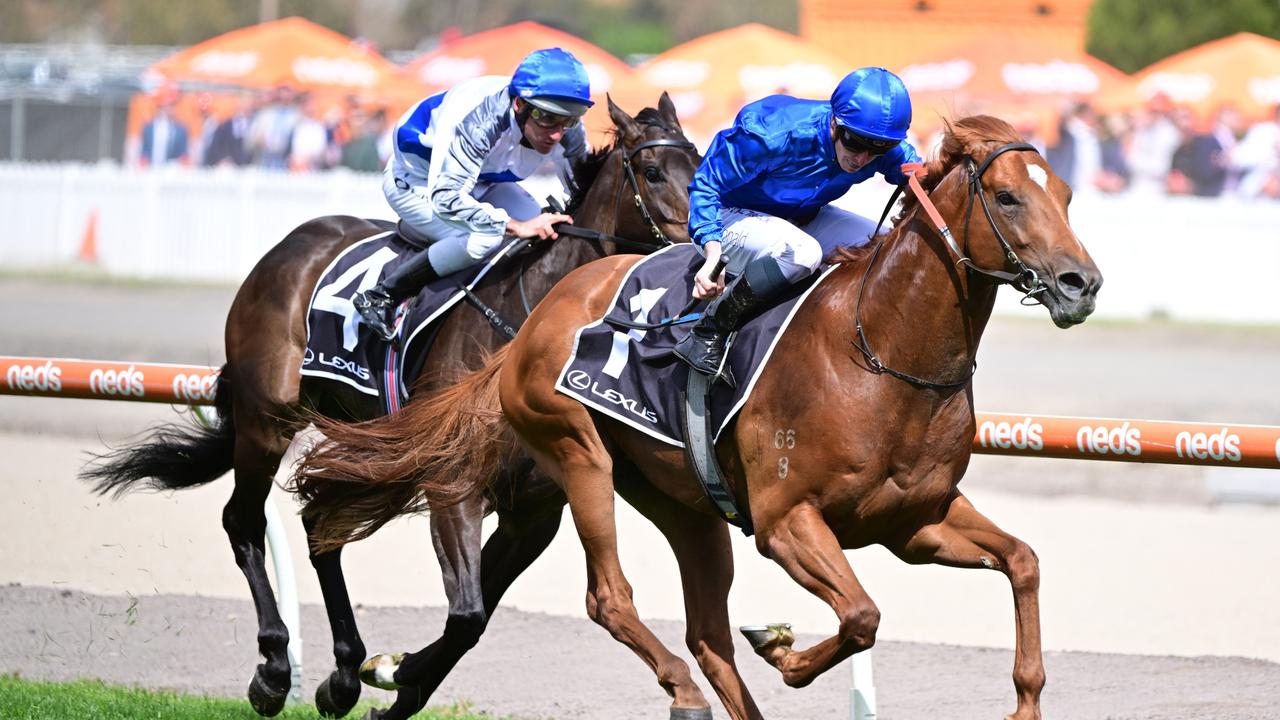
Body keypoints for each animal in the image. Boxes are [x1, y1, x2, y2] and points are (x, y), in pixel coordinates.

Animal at [82, 95, 701, 717]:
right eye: (652, 172)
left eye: (700, 162)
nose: (702, 254)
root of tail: (288, 248)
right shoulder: (453, 485)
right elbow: (467, 614)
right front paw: (392, 672)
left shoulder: (532, 513)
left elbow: (471, 622)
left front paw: (392, 677)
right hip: (267, 420)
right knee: (246, 520)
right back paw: (276, 669)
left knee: (320, 525)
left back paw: (343, 673)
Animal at [296, 114, 1100, 712]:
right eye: (1006, 197)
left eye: (1065, 193)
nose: (1081, 283)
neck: (879, 351)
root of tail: (536, 320)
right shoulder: (786, 522)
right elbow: (862, 616)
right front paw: (784, 650)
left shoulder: (914, 522)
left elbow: (1023, 562)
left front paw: (1025, 700)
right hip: (576, 454)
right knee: (610, 599)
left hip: (687, 507)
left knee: (708, 635)